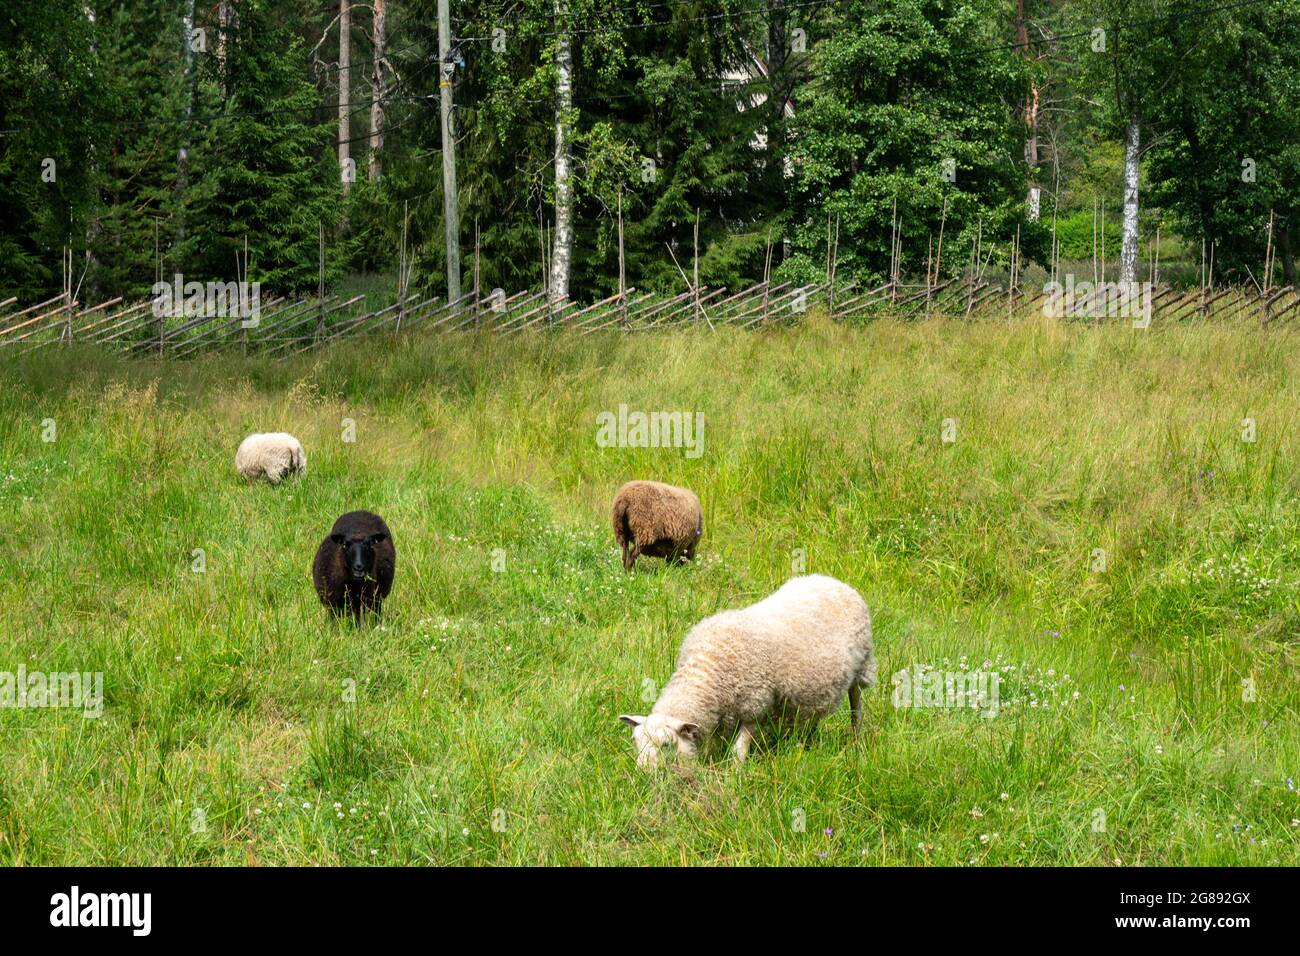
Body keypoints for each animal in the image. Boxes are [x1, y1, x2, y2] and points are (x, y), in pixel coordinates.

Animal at [616, 574, 873, 770]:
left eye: (666, 745)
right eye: (636, 742)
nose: (643, 772)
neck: (707, 671)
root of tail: (833, 580)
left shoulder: (753, 707)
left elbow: (739, 749)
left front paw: (735, 774)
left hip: (863, 666)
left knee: (856, 704)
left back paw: (856, 738)